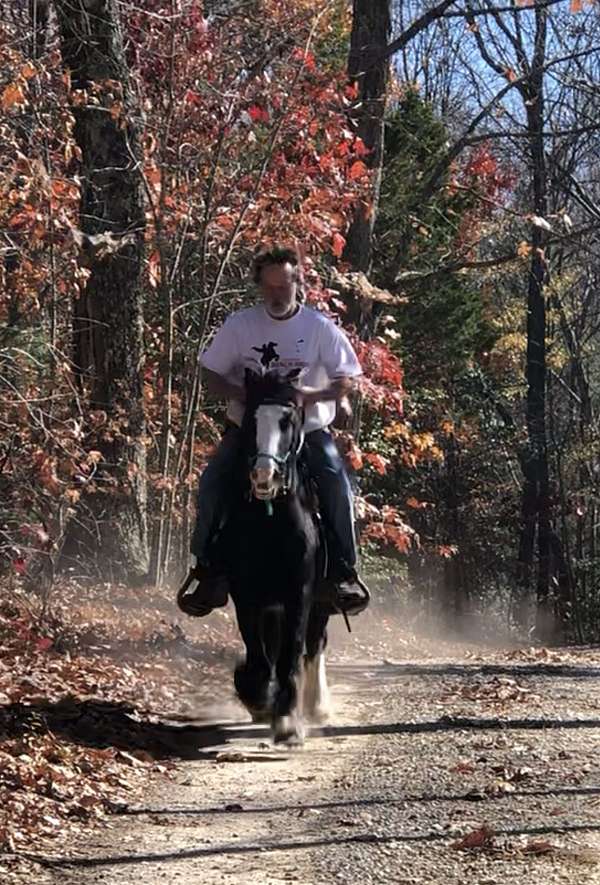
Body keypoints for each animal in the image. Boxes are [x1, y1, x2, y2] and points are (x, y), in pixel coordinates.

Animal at [217, 370, 330, 744]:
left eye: (288, 420)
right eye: (252, 419)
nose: (264, 476)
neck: (271, 522)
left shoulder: (300, 593)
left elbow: (292, 651)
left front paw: (287, 720)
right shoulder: (247, 594)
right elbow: (258, 650)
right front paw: (258, 697)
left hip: (323, 601)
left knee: (315, 643)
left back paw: (317, 705)